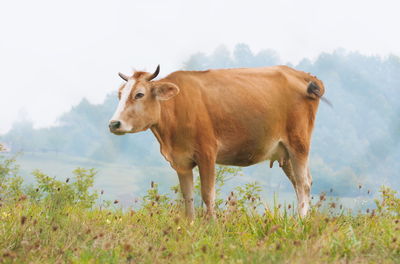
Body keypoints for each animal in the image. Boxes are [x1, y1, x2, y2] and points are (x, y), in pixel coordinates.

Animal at [109, 65, 324, 219]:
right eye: (120, 95)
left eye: (139, 94)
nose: (114, 123)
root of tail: (305, 76)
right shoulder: (181, 161)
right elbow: (187, 196)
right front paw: (190, 225)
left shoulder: (207, 153)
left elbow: (207, 194)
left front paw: (211, 225)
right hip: (285, 153)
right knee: (300, 183)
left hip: (298, 143)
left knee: (304, 183)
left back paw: (301, 222)